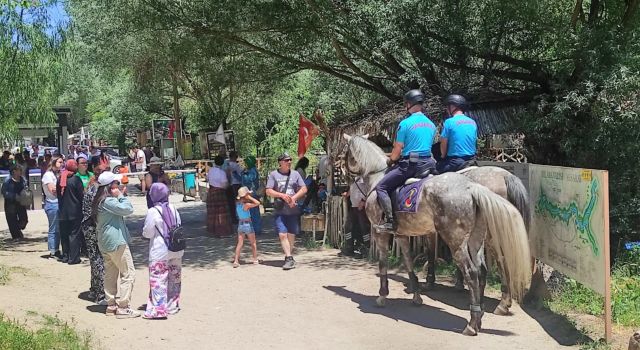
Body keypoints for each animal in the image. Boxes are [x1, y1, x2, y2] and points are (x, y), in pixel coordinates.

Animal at [342, 135, 532, 336]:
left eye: (344, 152)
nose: (344, 175)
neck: (378, 178)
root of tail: (472, 187)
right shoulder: (401, 234)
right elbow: (409, 262)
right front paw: (417, 294)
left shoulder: (381, 233)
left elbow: (386, 263)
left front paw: (383, 296)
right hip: (476, 238)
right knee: (482, 269)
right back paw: (482, 312)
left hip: (462, 240)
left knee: (479, 269)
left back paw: (476, 320)